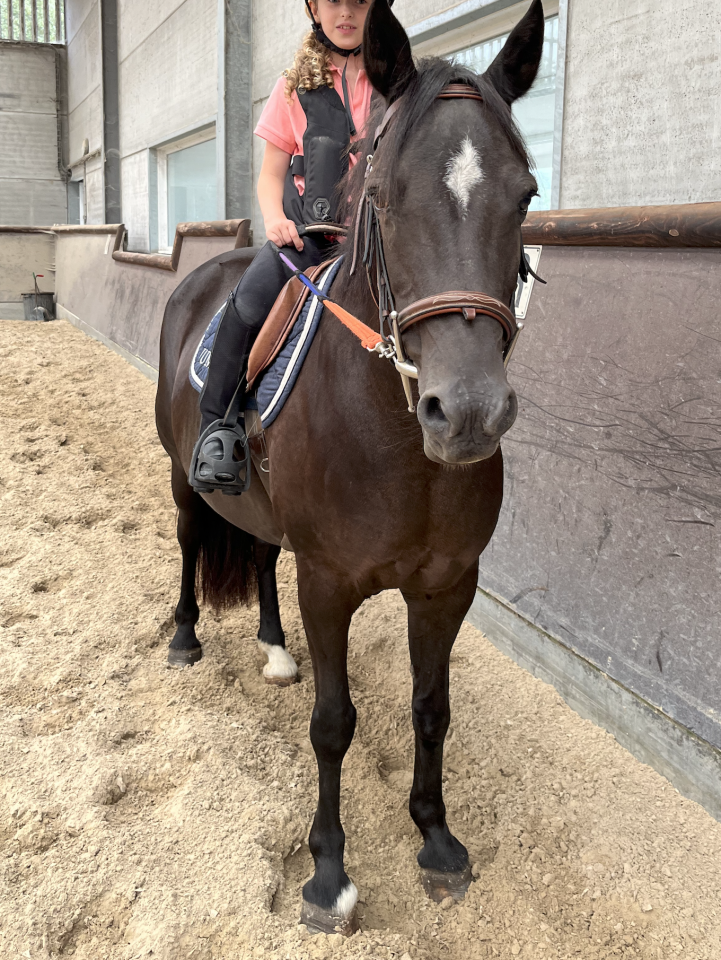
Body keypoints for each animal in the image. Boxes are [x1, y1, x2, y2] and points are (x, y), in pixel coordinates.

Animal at [155, 0, 545, 935]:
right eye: (383, 195)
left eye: (524, 195)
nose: (466, 412)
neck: (402, 448)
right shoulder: (328, 581)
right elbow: (333, 723)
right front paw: (327, 875)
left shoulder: (446, 585)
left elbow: (431, 710)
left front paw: (436, 840)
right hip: (185, 479)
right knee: (189, 544)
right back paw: (186, 638)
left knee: (259, 553)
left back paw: (271, 649)